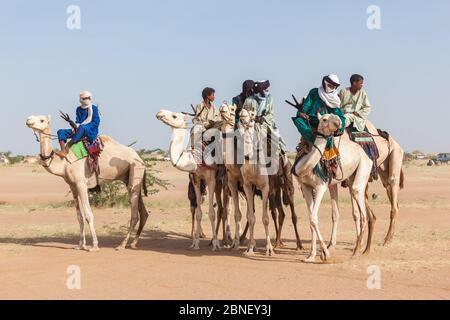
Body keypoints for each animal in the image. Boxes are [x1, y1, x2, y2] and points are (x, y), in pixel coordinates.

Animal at [25, 114, 149, 251]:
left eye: (42, 120)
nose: (28, 120)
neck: (64, 161)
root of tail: (140, 158)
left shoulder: (81, 183)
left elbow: (89, 214)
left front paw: (94, 246)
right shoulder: (72, 185)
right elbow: (79, 217)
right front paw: (80, 245)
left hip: (135, 170)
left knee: (134, 215)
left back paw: (122, 245)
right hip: (128, 177)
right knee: (143, 212)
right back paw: (133, 243)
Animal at [156, 109, 232, 251]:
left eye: (174, 115)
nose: (159, 112)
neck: (197, 157)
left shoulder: (211, 179)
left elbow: (211, 213)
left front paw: (215, 244)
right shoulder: (196, 179)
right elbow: (198, 212)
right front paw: (195, 243)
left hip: (226, 181)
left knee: (228, 208)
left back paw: (228, 240)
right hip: (219, 183)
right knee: (222, 208)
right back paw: (220, 240)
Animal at [292, 113, 372, 262]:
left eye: (335, 116)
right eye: (324, 119)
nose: (338, 122)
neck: (305, 167)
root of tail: (363, 151)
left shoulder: (320, 186)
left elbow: (313, 218)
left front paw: (325, 254)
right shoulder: (305, 186)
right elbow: (311, 219)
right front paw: (311, 256)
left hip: (364, 166)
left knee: (361, 206)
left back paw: (357, 250)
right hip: (350, 177)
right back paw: (359, 248)